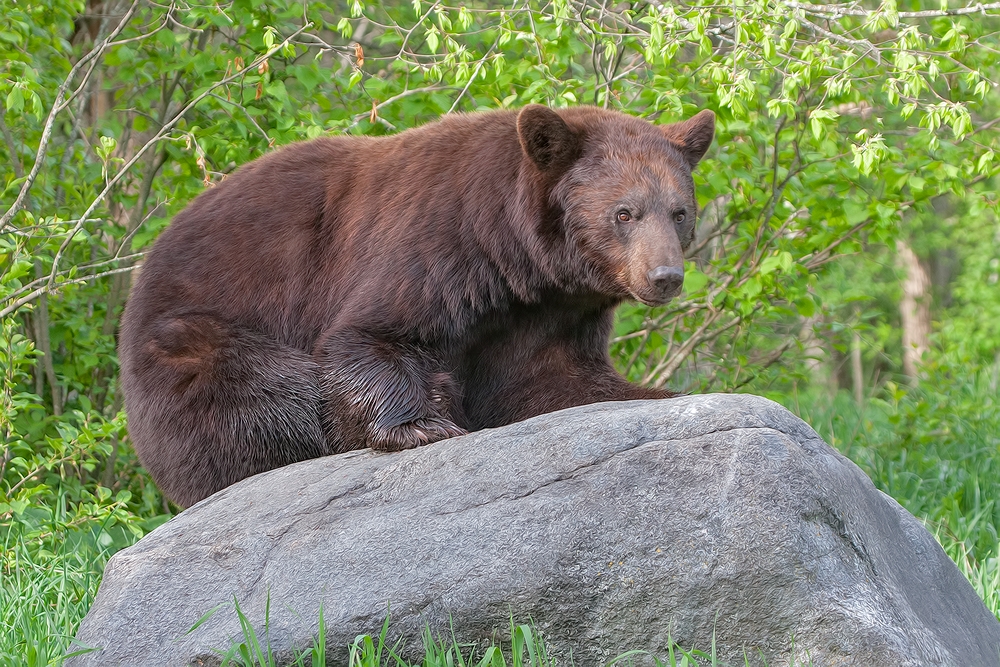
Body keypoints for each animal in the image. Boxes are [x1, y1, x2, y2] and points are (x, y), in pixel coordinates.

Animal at [119, 104, 712, 506]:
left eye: (679, 211)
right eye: (624, 213)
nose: (664, 276)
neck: (515, 259)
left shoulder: (548, 312)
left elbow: (551, 379)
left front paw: (662, 394)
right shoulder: (436, 242)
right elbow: (369, 335)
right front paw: (424, 424)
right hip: (192, 335)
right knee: (258, 392)